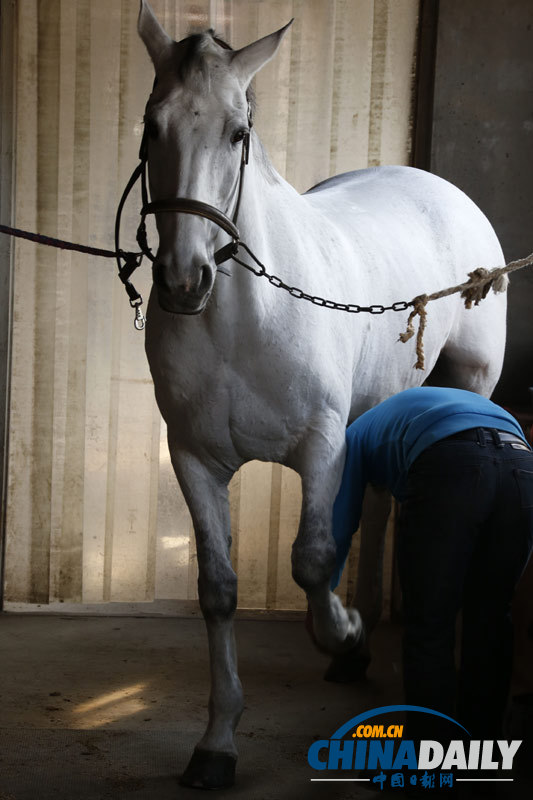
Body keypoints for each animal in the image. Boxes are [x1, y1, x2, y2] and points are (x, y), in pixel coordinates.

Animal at [136, 0, 502, 788]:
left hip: (468, 382)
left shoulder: (320, 446)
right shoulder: (194, 460)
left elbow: (310, 559)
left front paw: (344, 633)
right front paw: (217, 744)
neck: (242, 320)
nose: (183, 279)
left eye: (237, 132)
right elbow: (218, 590)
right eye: (152, 125)